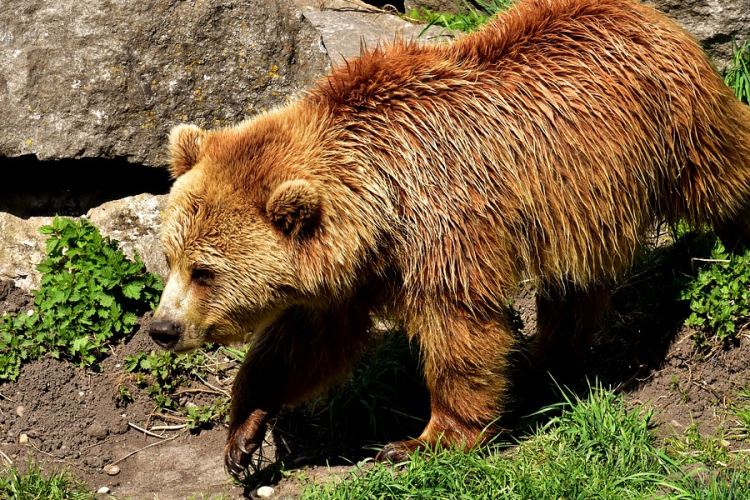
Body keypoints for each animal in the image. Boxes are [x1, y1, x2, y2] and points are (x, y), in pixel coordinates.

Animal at [150, 0, 750, 478]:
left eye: (206, 271)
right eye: (171, 257)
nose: (161, 329)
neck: (379, 199)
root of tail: (650, 14)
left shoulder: (444, 224)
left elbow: (459, 327)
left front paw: (423, 440)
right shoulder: (353, 271)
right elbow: (307, 342)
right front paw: (243, 432)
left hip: (677, 125)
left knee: (725, 177)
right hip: (581, 205)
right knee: (575, 282)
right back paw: (547, 363)